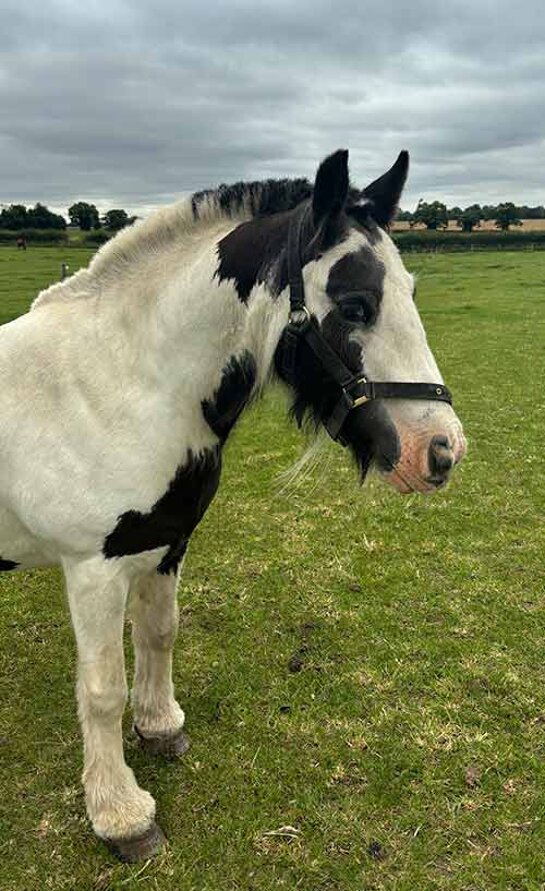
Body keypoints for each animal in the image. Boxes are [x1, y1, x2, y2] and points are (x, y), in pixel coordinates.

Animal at [1, 150, 468, 860]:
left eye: (411, 293)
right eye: (355, 303)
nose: (441, 451)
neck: (115, 384)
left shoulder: (166, 544)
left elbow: (160, 634)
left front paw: (160, 726)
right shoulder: (93, 570)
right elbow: (103, 690)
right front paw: (121, 815)